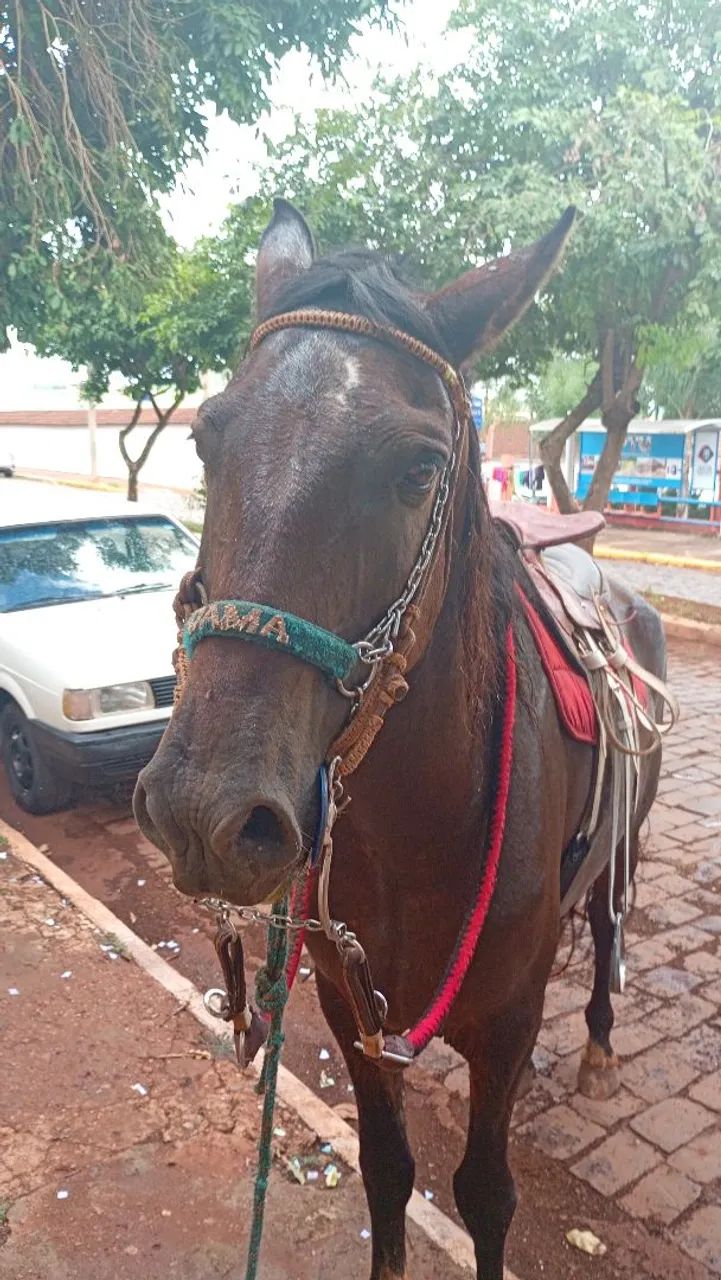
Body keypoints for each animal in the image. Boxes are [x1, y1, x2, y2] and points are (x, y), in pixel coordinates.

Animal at [134, 199, 669, 1280]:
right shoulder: (348, 1007)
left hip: (620, 855)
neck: (411, 831)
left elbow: (484, 1193)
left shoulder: (506, 1023)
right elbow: (385, 1170)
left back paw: (597, 1044)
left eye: (421, 466)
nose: (206, 812)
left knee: (606, 927)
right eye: (206, 439)